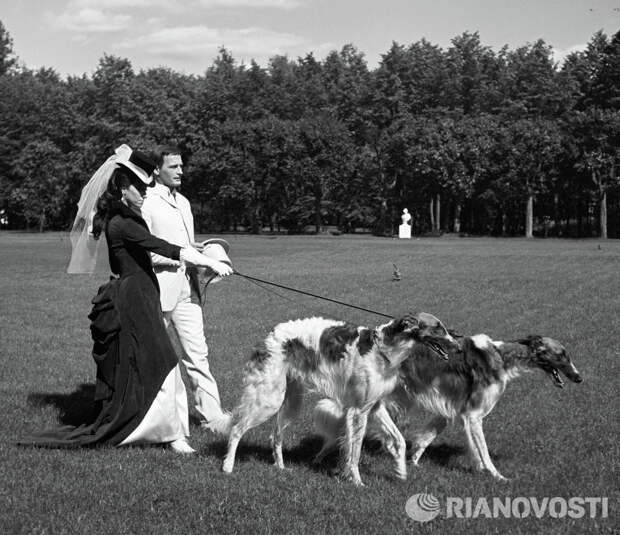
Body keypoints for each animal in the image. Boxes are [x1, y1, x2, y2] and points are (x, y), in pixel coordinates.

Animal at [208, 312, 456, 488]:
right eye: (438, 327)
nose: (457, 345)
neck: (384, 350)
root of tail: (270, 335)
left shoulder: (374, 406)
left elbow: (399, 440)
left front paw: (400, 472)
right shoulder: (358, 410)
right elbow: (354, 451)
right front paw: (356, 481)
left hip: (290, 399)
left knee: (275, 435)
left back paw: (281, 467)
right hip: (269, 399)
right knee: (236, 429)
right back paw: (227, 466)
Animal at [314, 336, 580, 482]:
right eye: (562, 354)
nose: (579, 378)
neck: (501, 357)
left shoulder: (450, 411)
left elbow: (426, 439)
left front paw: (414, 462)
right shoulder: (473, 415)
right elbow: (484, 452)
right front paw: (497, 476)